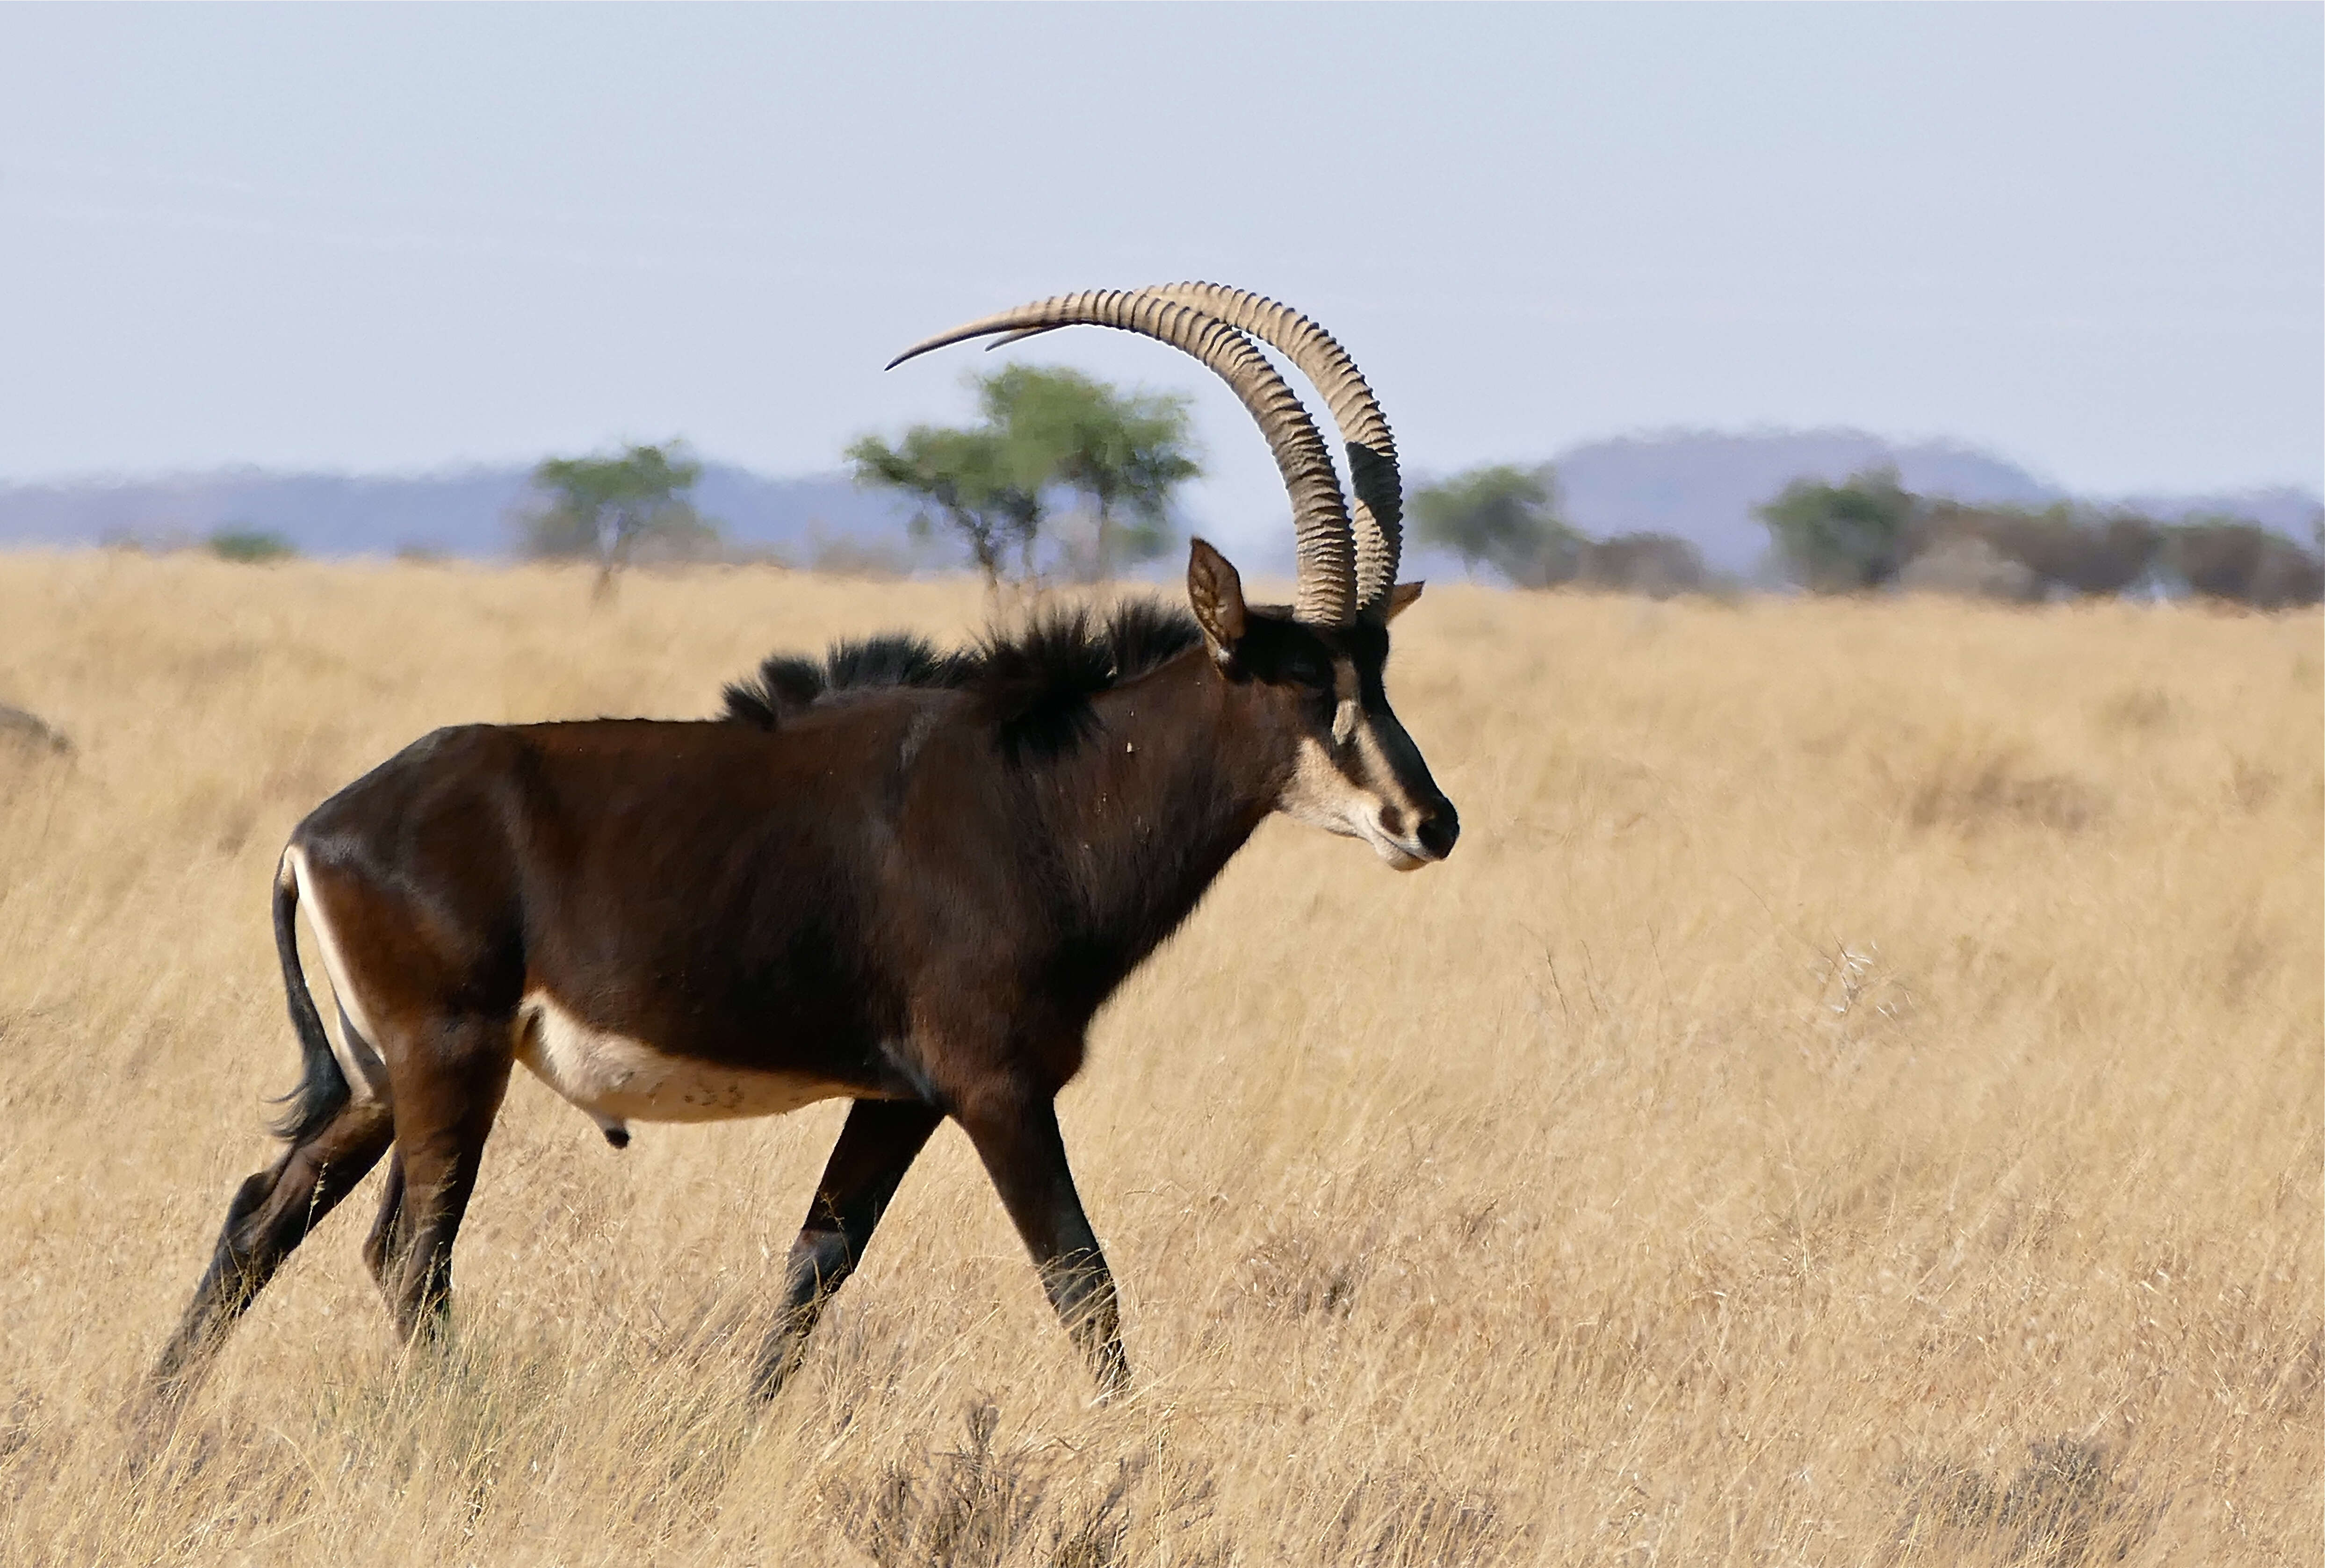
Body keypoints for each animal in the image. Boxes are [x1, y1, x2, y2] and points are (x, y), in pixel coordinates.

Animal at [150, 286, 1451, 1412]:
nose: (1427, 823)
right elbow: (1081, 1280)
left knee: (265, 1215)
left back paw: (145, 1440)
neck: (1043, 789)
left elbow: (816, 1265)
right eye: (1300, 682)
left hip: (383, 1077)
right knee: (409, 1251)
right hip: (446, 1061)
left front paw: (737, 1431)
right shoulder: (995, 1087)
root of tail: (316, 833)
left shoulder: (898, 1096)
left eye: (1378, 670)